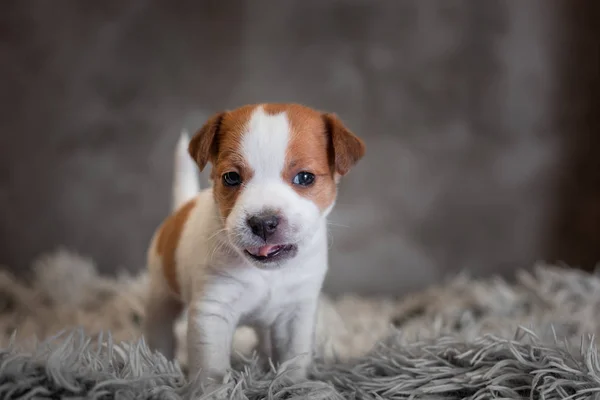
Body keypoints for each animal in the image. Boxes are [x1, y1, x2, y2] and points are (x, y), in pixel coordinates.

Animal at [143, 103, 366, 384]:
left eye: (305, 177)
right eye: (230, 178)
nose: (263, 223)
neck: (267, 273)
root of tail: (182, 206)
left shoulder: (296, 312)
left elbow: (294, 357)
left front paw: (292, 385)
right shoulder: (212, 312)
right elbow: (212, 367)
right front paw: (210, 389)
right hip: (160, 296)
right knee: (160, 331)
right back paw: (157, 365)